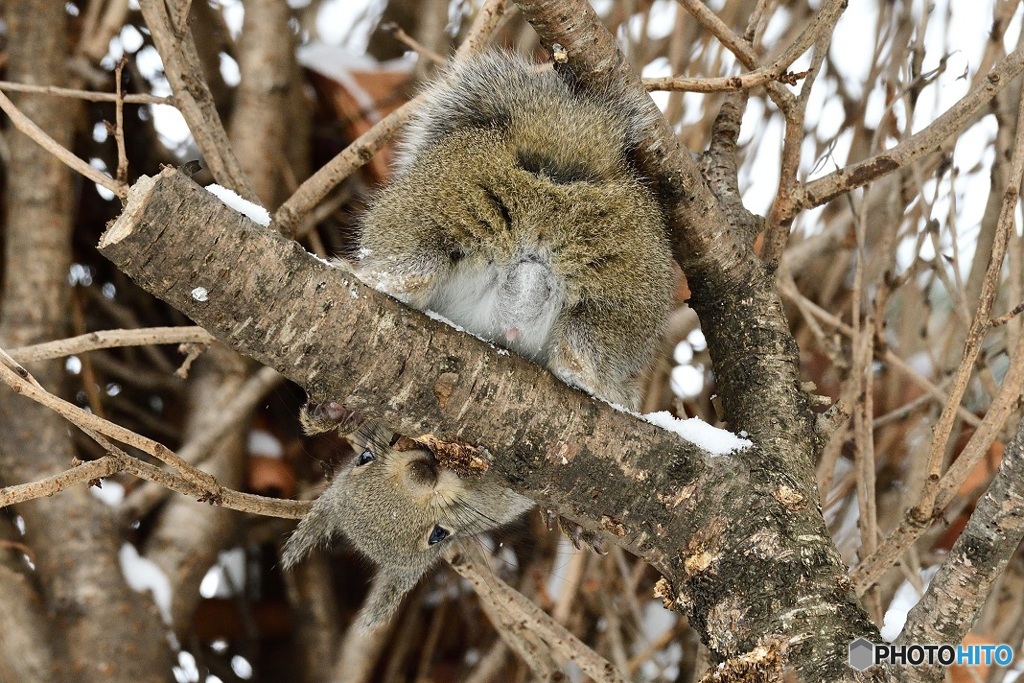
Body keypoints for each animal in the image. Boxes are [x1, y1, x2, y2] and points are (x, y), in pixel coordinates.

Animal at [284, 50, 675, 626]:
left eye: (438, 535)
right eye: (363, 461)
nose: (423, 470)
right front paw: (333, 411)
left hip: (435, 205)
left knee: (410, 260)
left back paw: (378, 280)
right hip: (622, 272)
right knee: (589, 341)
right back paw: (585, 374)